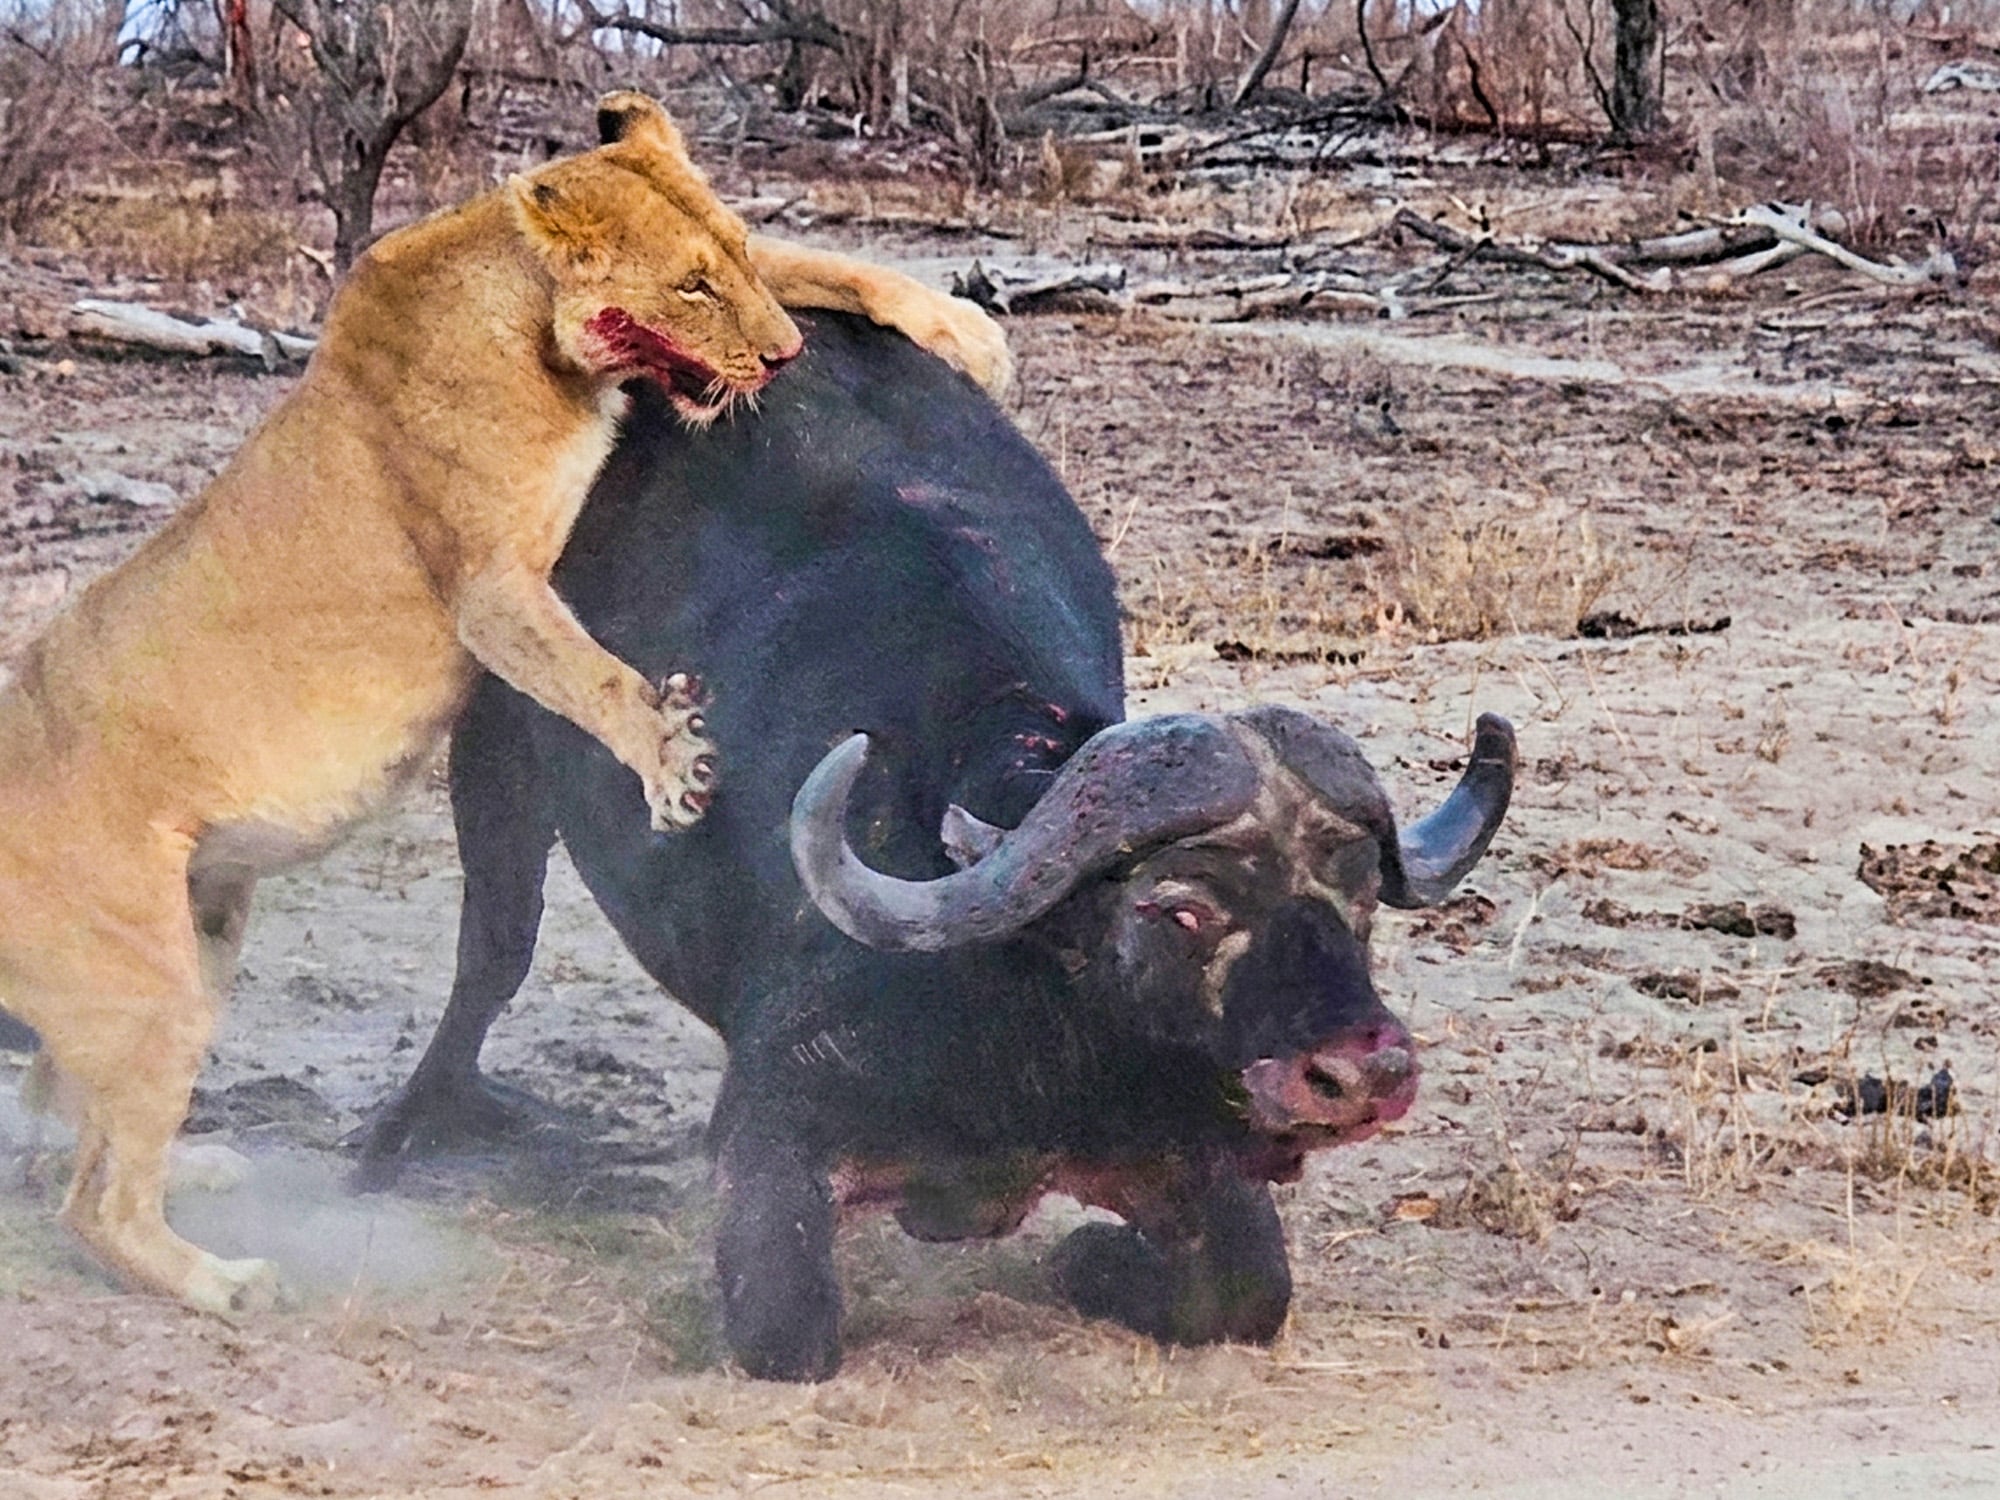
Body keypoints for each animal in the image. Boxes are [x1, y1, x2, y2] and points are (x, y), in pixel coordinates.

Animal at [0, 91, 1010, 1315]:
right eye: (689, 286)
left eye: (722, 258)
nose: (782, 356)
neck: (530, 325)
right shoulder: (491, 589)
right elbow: (590, 674)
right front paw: (670, 760)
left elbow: (811, 257)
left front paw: (959, 329)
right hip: (144, 980)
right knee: (90, 1202)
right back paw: (224, 1281)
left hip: (204, 942)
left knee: (74, 1128)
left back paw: (194, 1165)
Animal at [360, 311, 1514, 1381]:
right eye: (1179, 908)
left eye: (1356, 901)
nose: (1361, 1072)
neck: (1021, 1010)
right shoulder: (776, 1130)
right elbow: (791, 1333)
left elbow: (1247, 1297)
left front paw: (1089, 1261)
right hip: (492, 737)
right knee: (494, 948)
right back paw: (404, 1133)